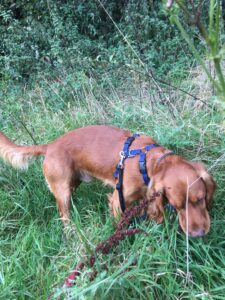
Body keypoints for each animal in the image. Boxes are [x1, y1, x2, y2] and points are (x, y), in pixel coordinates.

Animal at [0, 125, 214, 237]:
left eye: (201, 199)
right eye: (177, 206)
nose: (198, 234)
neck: (148, 162)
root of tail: (50, 146)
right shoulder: (118, 200)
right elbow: (120, 223)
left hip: (73, 183)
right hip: (62, 190)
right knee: (64, 215)